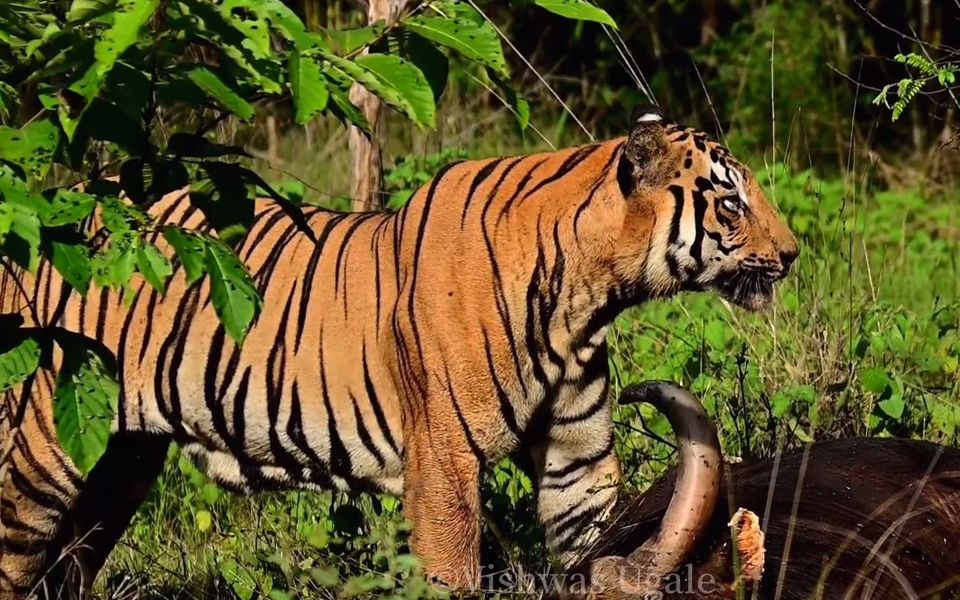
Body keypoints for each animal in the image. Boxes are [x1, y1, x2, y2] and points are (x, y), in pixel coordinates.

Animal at [0, 105, 800, 596]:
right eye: (731, 201)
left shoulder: (576, 462)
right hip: (35, 452)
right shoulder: (443, 460)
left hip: (121, 462)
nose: (793, 254)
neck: (589, 296)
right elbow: (454, 570)